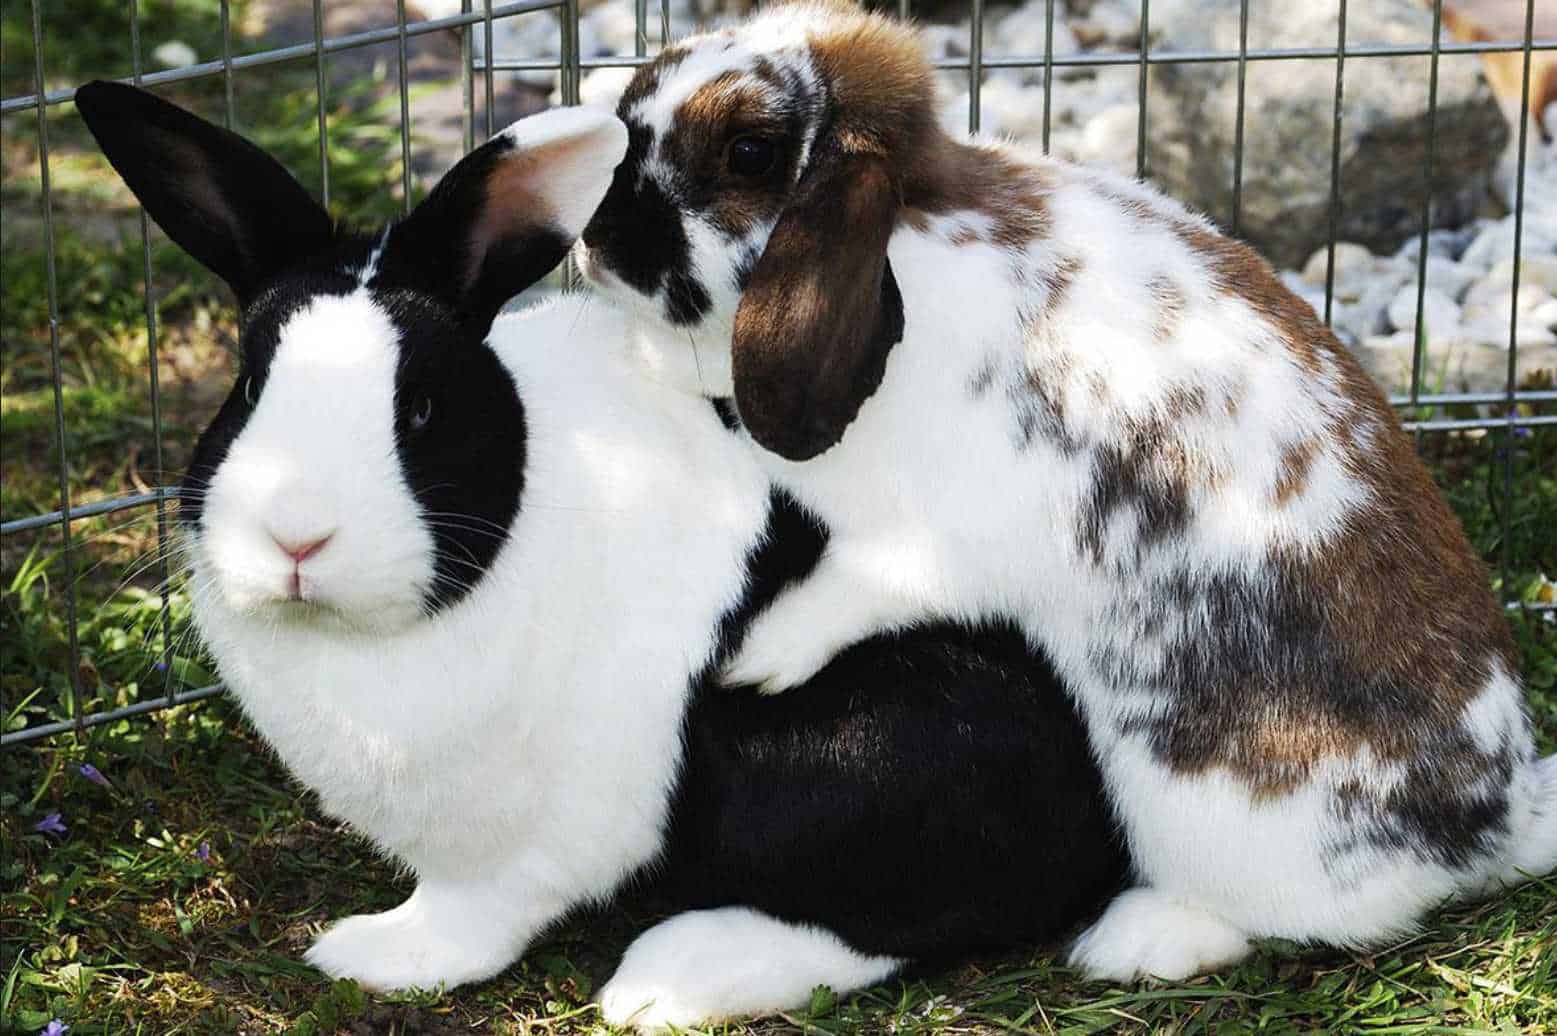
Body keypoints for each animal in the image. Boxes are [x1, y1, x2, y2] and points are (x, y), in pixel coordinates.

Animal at [79, 82, 1127, 1028]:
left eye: (420, 409)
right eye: (248, 389)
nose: (296, 536)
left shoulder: (514, 842)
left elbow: (473, 917)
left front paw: (374, 957)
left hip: (861, 758)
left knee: (897, 914)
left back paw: (670, 981)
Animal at [579, 0, 1557, 984]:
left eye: (747, 153)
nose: (591, 235)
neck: (903, 242)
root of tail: (1496, 826)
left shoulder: (940, 536)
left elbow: (856, 589)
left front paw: (757, 659)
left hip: (1195, 814)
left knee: (1291, 917)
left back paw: (1135, 940)